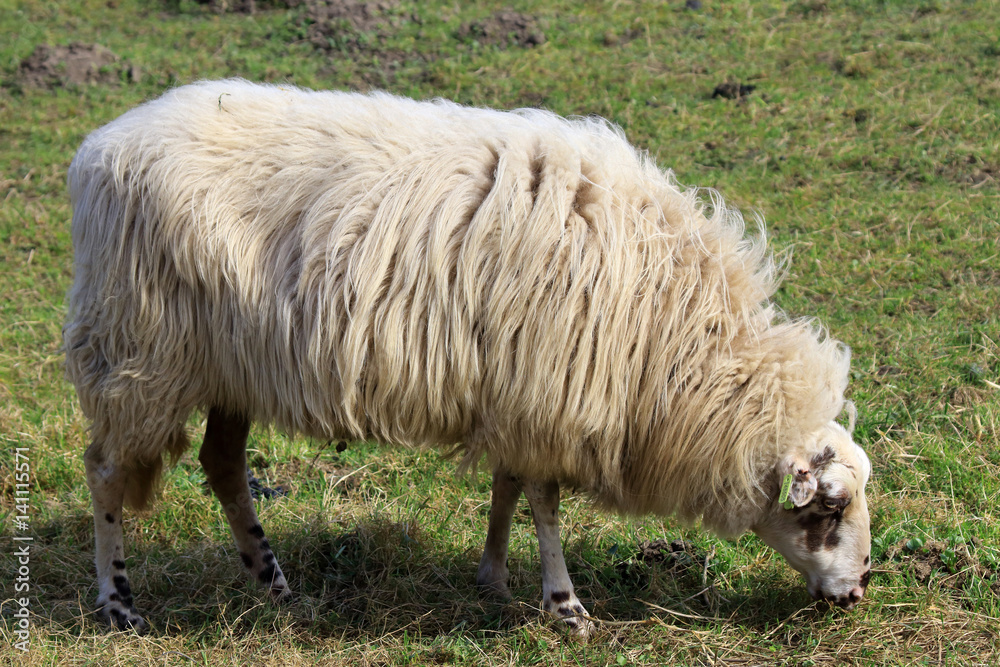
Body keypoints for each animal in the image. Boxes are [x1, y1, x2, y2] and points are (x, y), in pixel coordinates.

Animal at [66, 78, 872, 636]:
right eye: (829, 509)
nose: (860, 589)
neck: (680, 343)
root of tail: (100, 146)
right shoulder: (548, 390)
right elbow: (544, 501)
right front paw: (564, 605)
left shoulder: (519, 390)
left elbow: (508, 485)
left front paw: (493, 576)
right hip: (140, 349)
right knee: (105, 473)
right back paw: (118, 603)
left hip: (227, 363)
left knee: (224, 466)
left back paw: (273, 582)